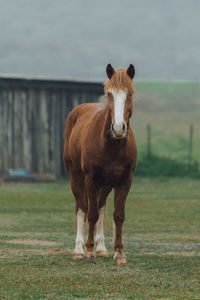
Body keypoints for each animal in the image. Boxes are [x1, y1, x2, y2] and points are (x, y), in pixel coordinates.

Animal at [63, 63, 137, 264]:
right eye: (110, 94)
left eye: (129, 94)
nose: (118, 128)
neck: (111, 145)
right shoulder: (91, 179)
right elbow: (91, 213)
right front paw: (89, 252)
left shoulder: (125, 180)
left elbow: (118, 215)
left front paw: (119, 253)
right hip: (76, 176)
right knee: (81, 208)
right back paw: (79, 250)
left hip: (106, 184)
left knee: (101, 206)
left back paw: (102, 248)